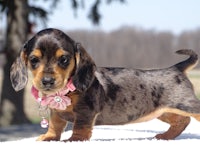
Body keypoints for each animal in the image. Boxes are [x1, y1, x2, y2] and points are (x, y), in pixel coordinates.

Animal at [9, 28, 200, 142]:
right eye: (34, 60)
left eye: (64, 59)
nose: (47, 81)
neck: (64, 92)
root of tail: (176, 68)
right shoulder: (56, 112)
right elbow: (55, 125)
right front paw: (48, 137)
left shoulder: (86, 110)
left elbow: (80, 127)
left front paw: (73, 140)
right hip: (164, 111)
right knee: (182, 121)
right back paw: (166, 136)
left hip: (187, 105)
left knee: (190, 117)